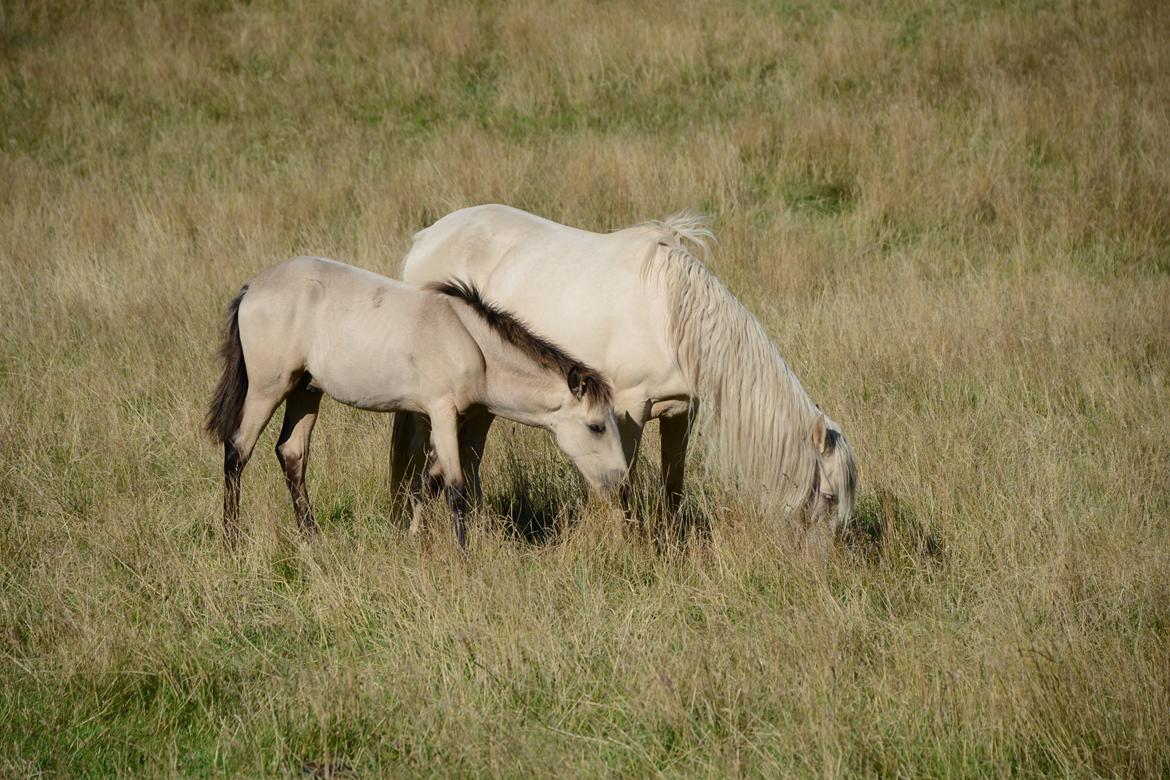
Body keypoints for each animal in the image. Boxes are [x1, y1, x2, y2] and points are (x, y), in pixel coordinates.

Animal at [210, 256, 631, 549]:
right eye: (596, 426)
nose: (620, 482)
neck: (472, 344)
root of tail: (253, 288)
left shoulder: (459, 419)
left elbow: (430, 481)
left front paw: (415, 537)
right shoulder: (441, 413)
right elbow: (455, 487)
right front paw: (463, 558)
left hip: (305, 390)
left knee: (292, 454)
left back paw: (311, 537)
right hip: (268, 388)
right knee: (237, 450)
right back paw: (231, 538)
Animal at [393, 204, 861, 533]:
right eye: (827, 497)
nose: (821, 568)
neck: (672, 317)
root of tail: (425, 238)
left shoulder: (681, 412)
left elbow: (673, 484)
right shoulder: (628, 409)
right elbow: (622, 483)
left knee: (467, 456)